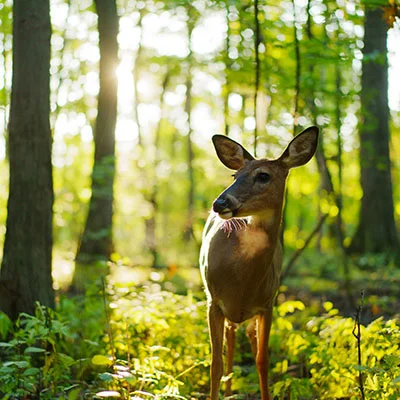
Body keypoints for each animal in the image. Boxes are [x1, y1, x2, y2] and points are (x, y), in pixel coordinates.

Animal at [200, 126, 318, 398]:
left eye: (263, 176)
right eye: (235, 175)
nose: (219, 203)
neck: (242, 280)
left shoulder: (267, 304)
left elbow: (262, 361)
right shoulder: (214, 301)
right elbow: (214, 363)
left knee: (246, 339)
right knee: (231, 339)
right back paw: (228, 389)